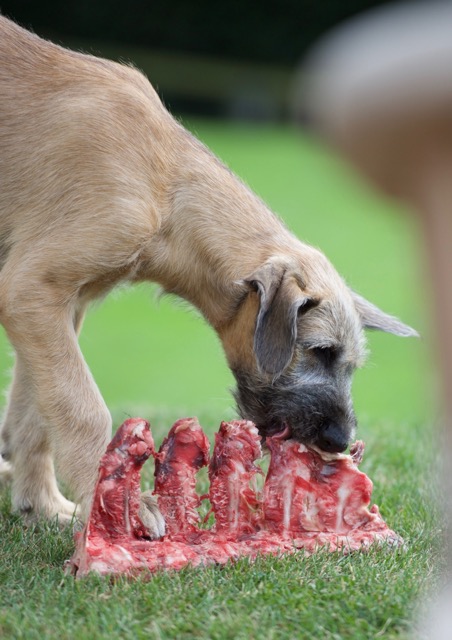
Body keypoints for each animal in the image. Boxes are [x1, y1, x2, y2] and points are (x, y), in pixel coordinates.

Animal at [0, 15, 417, 534]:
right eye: (321, 351)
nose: (340, 441)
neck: (165, 187)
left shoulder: (61, 304)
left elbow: (36, 410)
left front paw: (42, 504)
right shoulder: (30, 289)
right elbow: (82, 408)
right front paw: (122, 507)